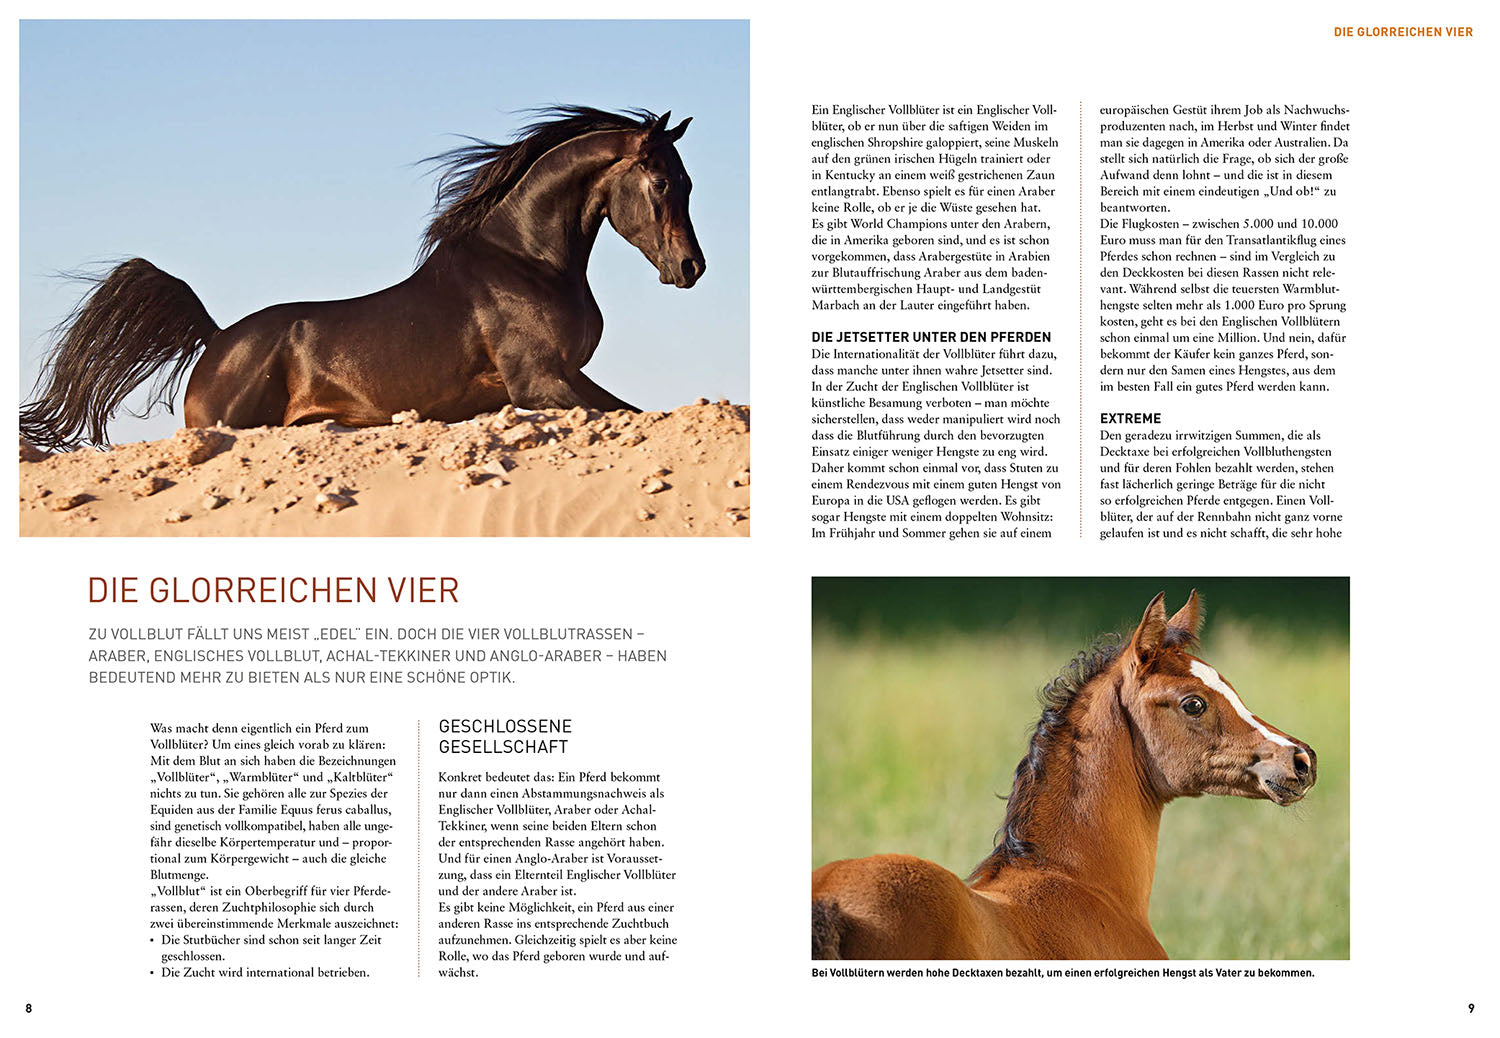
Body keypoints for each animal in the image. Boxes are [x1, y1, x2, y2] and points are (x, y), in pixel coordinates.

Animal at [20, 106, 706, 452]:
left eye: (688, 181)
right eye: (662, 181)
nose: (690, 268)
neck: (527, 261)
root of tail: (216, 341)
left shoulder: (554, 382)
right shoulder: (540, 383)